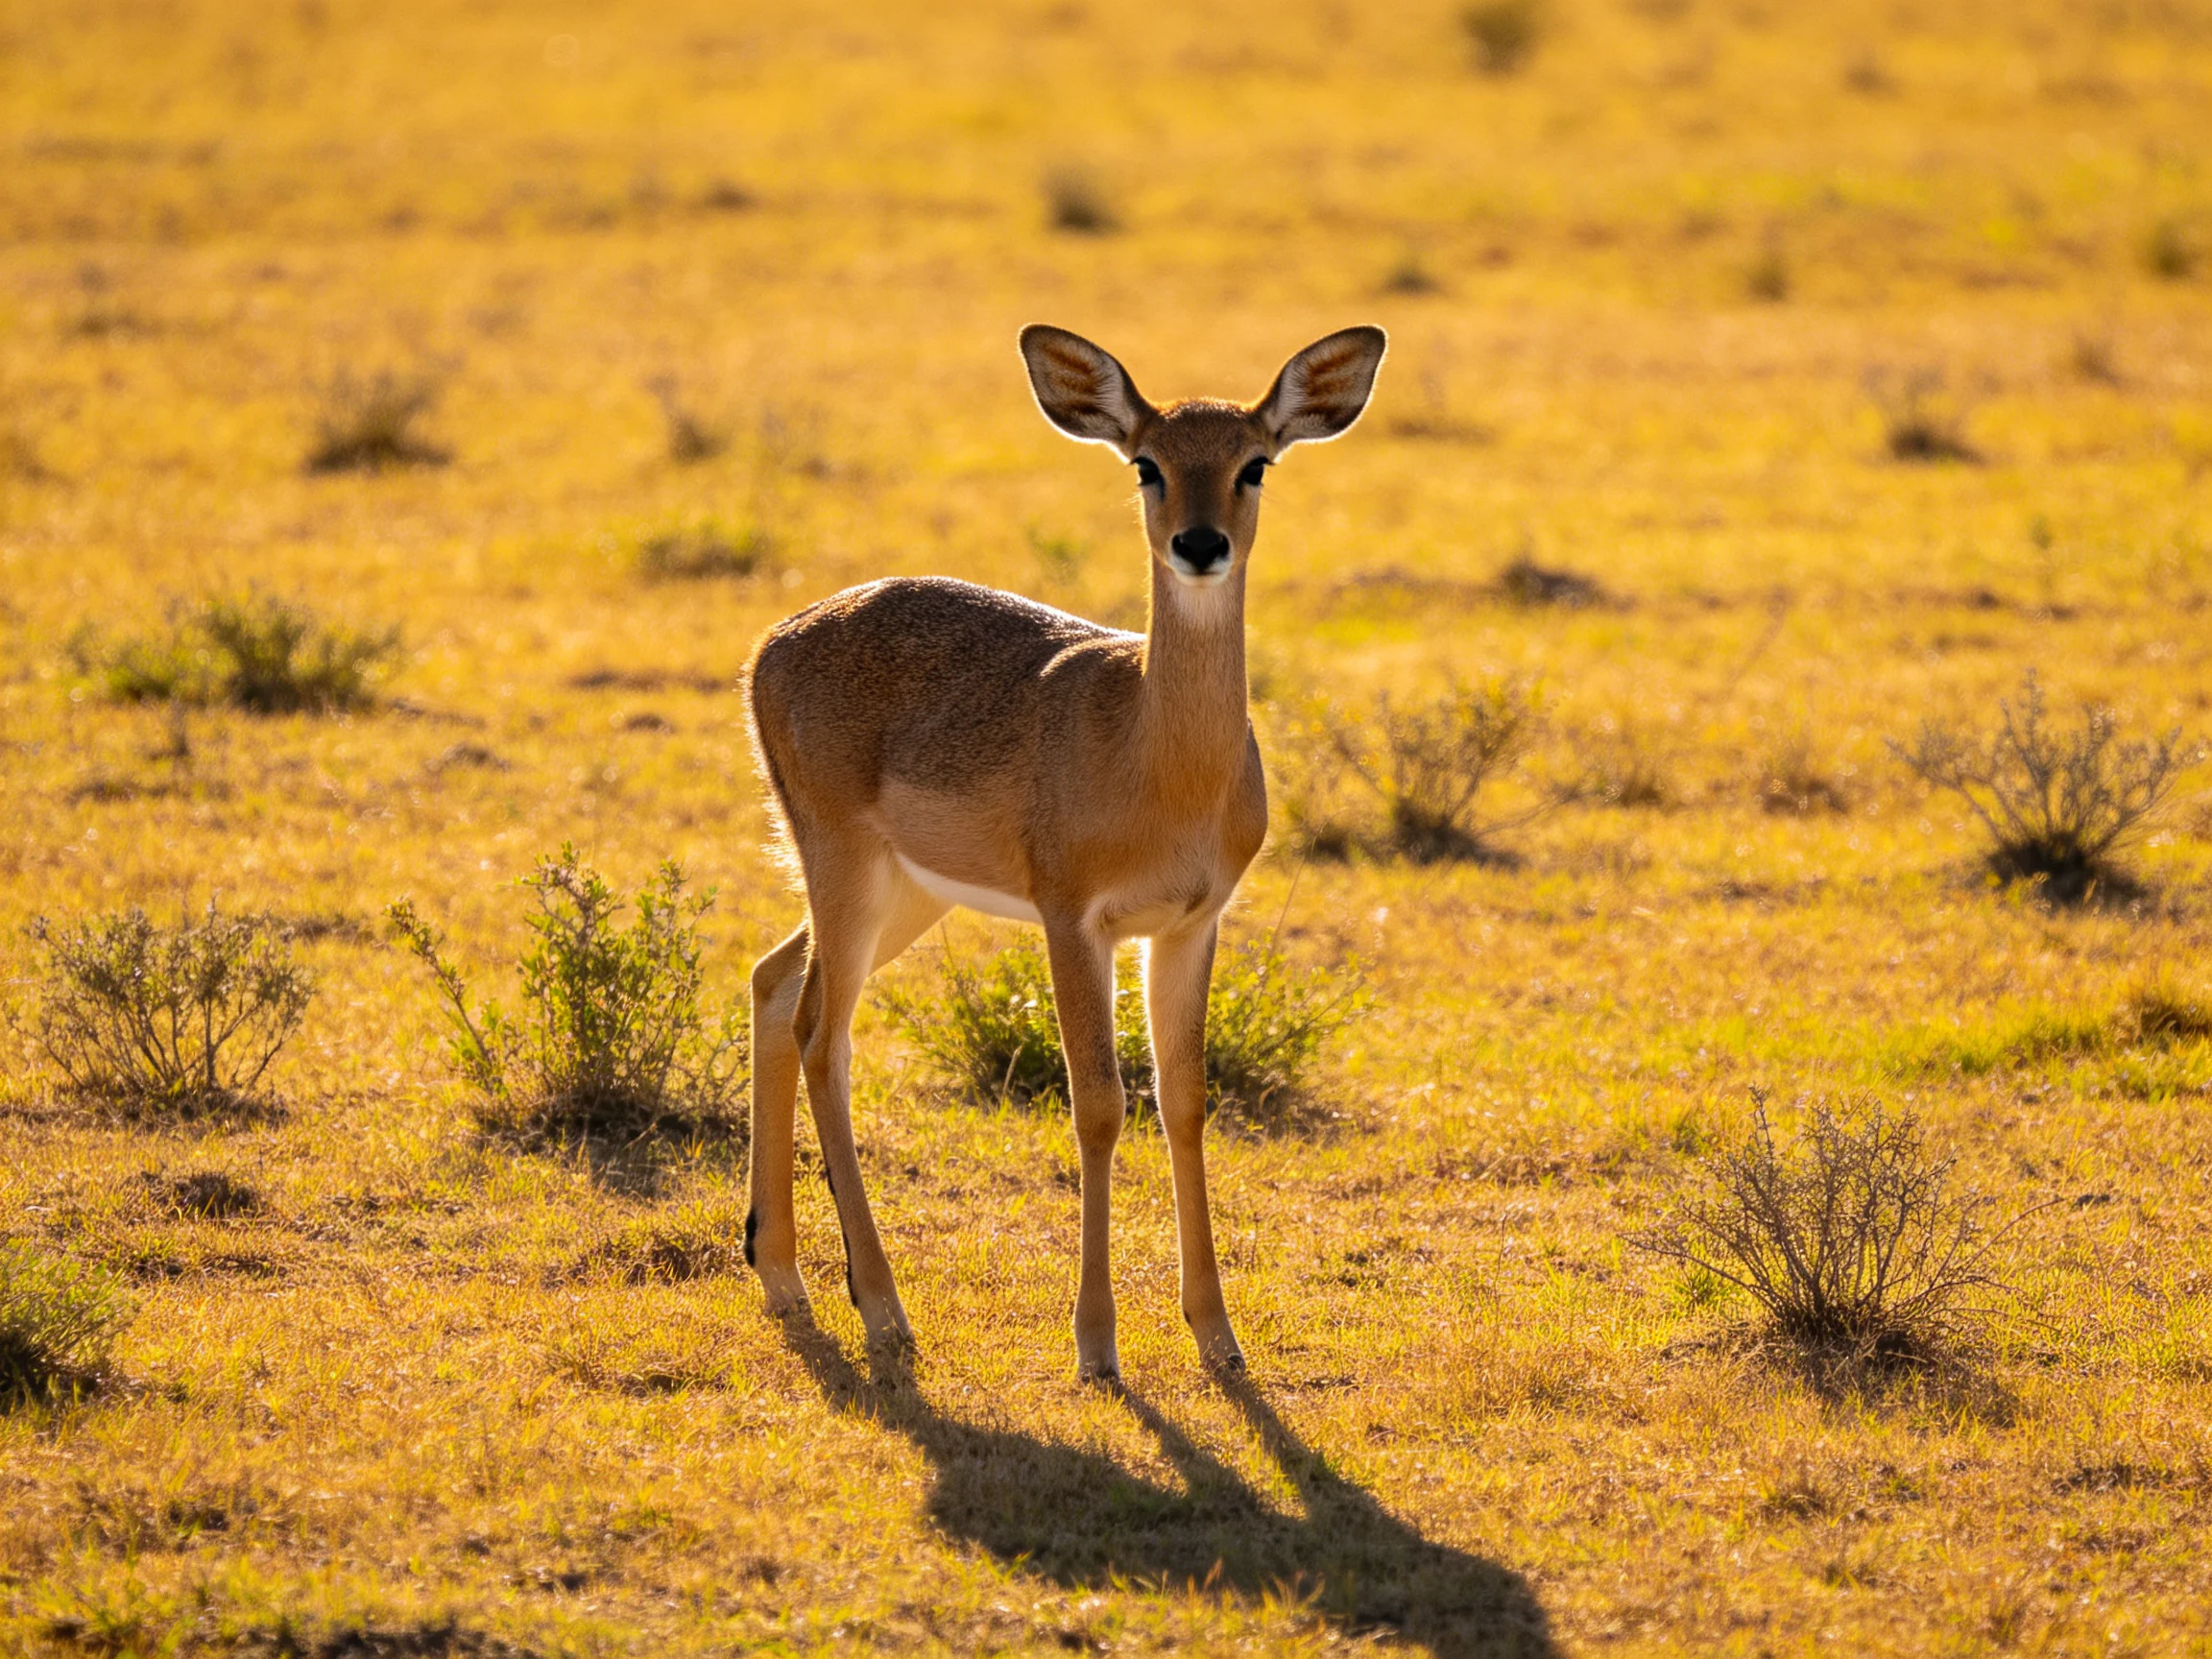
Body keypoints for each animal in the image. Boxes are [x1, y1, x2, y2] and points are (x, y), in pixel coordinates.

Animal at [743, 323, 1388, 1380]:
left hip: (904, 892)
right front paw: (1096, 1343)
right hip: (845, 869)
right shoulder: (1072, 922)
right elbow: (1098, 1105)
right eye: (1146, 464)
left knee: (771, 981)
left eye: (1254, 462)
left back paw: (783, 1273)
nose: (1199, 546)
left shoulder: (1187, 926)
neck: (1158, 761)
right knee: (821, 1035)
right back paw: (882, 1309)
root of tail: (777, 639)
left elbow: (1185, 1099)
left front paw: (1218, 1335)